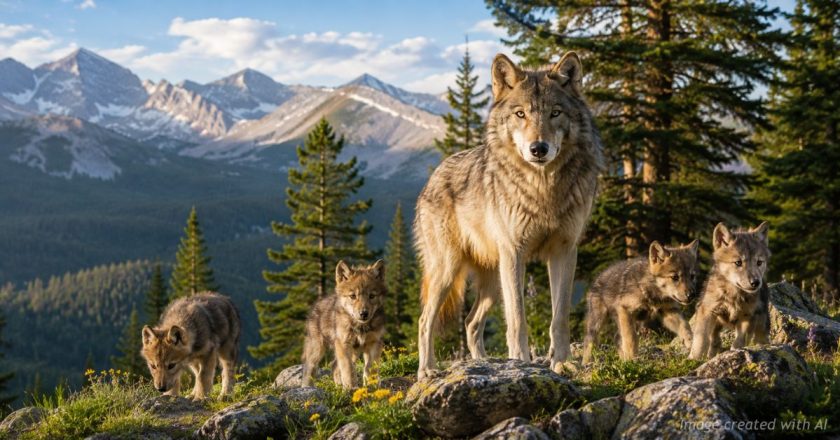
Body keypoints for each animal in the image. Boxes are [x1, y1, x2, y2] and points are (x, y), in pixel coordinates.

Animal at [302, 260, 386, 389]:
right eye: (353, 296)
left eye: (372, 296)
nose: (363, 314)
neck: (360, 327)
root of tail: (317, 303)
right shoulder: (344, 344)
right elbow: (348, 369)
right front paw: (351, 388)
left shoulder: (374, 343)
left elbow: (370, 369)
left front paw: (372, 388)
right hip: (317, 350)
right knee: (309, 370)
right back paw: (307, 388)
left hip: (353, 352)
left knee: (334, 366)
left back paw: (339, 387)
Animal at [413, 52, 603, 378]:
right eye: (520, 114)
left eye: (555, 113)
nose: (538, 148)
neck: (543, 188)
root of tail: (433, 175)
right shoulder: (515, 254)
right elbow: (517, 319)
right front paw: (521, 362)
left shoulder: (565, 252)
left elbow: (559, 318)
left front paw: (561, 362)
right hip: (449, 271)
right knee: (425, 320)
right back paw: (426, 371)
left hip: (492, 281)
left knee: (471, 322)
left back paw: (481, 364)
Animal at [689, 222, 771, 360]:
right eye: (738, 262)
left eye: (759, 262)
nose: (755, 282)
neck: (734, 294)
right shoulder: (708, 311)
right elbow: (701, 340)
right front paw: (694, 358)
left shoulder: (747, 316)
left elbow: (740, 341)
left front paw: (735, 352)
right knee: (714, 339)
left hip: (761, 323)